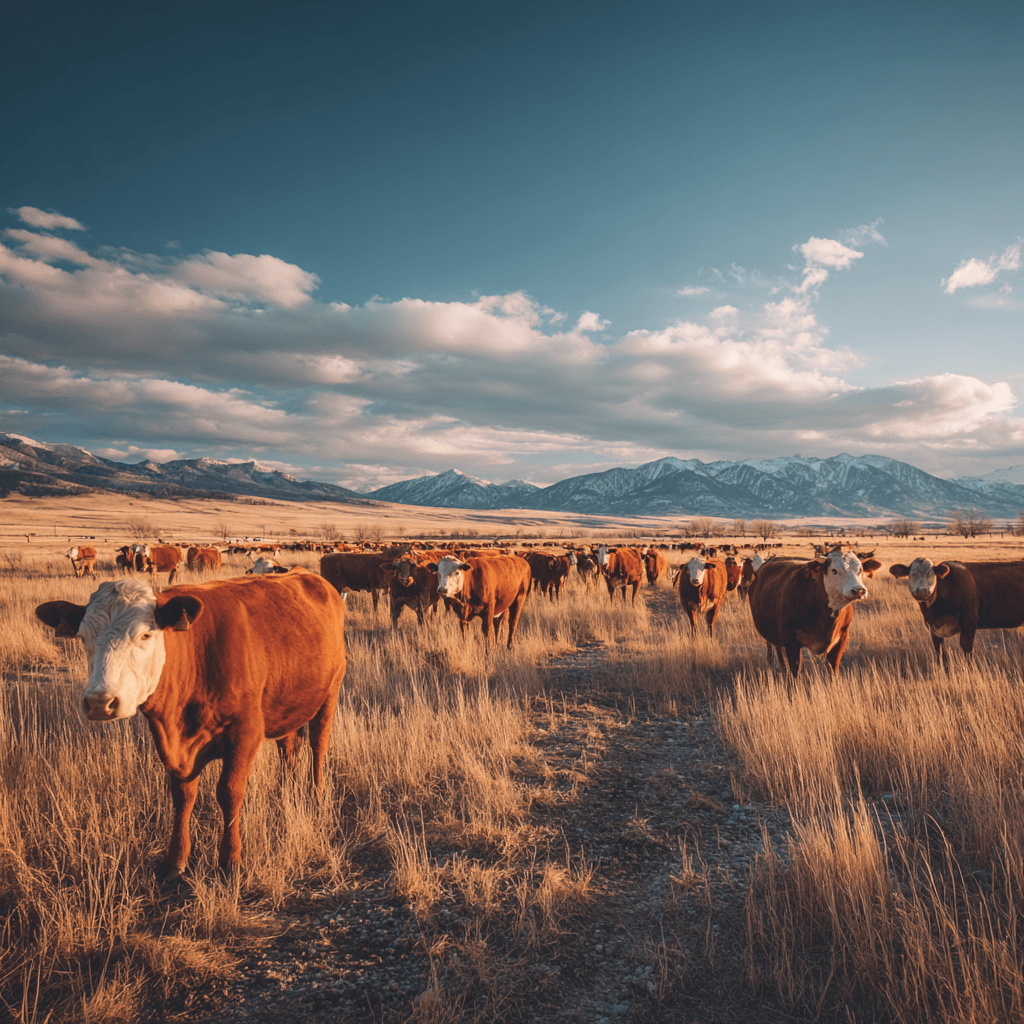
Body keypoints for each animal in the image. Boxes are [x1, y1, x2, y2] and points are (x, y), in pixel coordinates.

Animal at [34, 570, 346, 878]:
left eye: (146, 634)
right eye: (83, 637)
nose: (100, 702)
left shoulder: (245, 732)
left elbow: (230, 792)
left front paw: (231, 860)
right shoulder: (172, 744)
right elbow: (183, 797)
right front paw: (176, 859)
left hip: (330, 694)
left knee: (318, 745)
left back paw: (316, 796)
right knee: (289, 748)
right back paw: (286, 791)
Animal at [746, 550, 882, 677]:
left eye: (860, 570)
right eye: (834, 571)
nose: (859, 590)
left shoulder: (842, 638)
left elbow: (833, 670)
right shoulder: (791, 642)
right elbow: (796, 672)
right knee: (772, 649)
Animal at [888, 558, 1024, 664]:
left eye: (931, 574)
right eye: (912, 574)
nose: (921, 591)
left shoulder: (969, 621)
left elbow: (967, 649)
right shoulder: (933, 628)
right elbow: (940, 652)